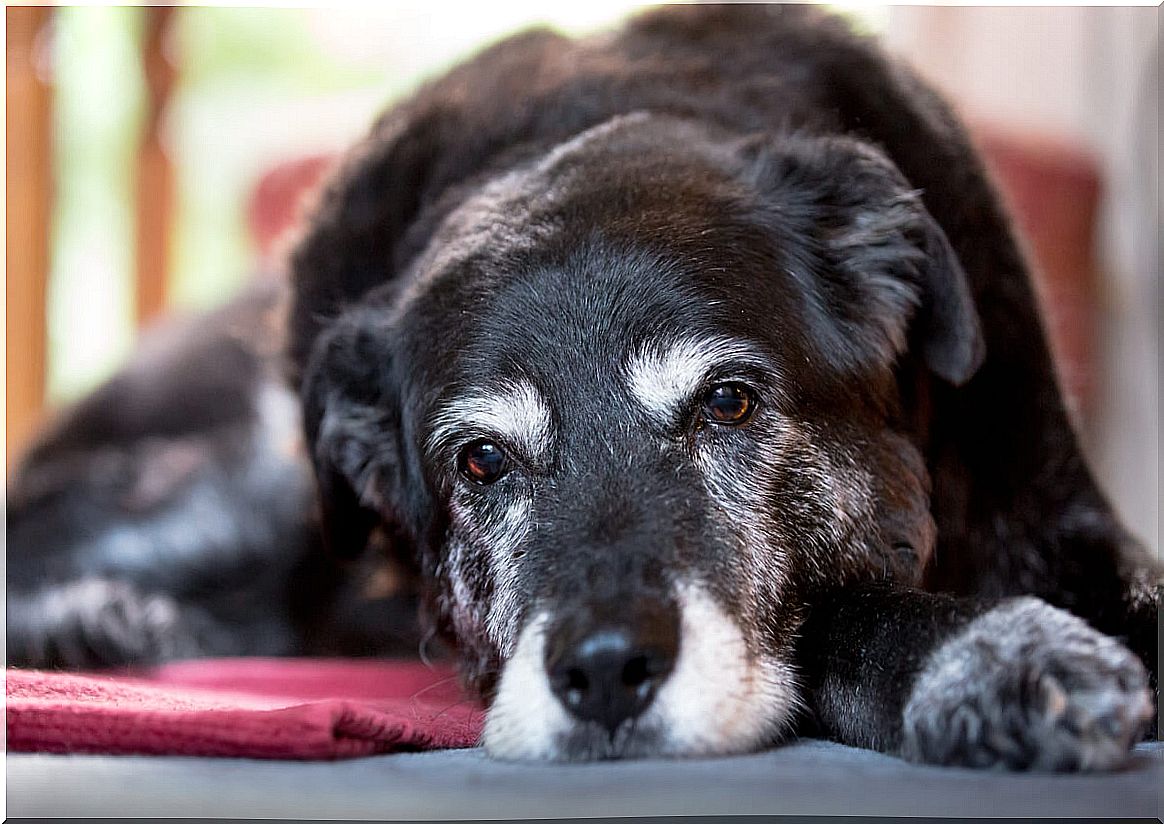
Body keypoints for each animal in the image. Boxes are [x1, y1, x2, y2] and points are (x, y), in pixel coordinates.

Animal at [4, 3, 1159, 768]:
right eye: (480, 460)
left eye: (728, 401)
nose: (604, 671)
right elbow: (839, 608)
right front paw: (991, 653)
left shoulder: (1060, 517)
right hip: (244, 490)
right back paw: (95, 623)